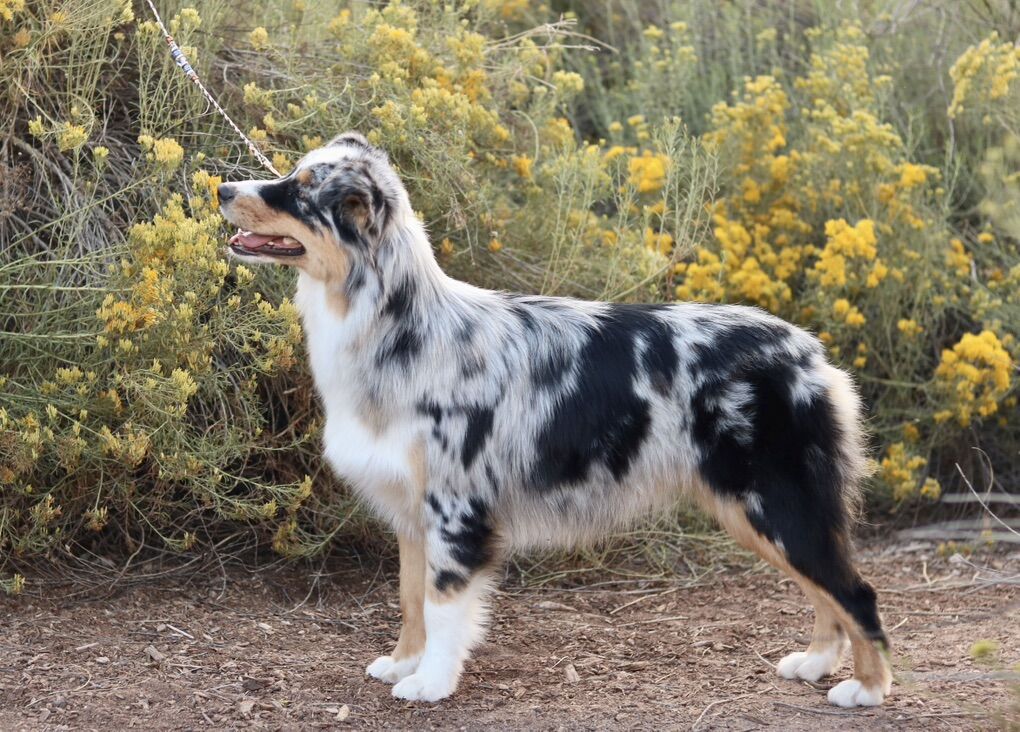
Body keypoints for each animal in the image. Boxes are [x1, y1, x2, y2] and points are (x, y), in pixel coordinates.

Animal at [218, 132, 892, 707]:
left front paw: (431, 683)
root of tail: (808, 350)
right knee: (825, 588)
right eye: (290, 175)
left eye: (299, 191)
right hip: (756, 511)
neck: (399, 328)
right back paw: (815, 661)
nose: (223, 188)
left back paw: (866, 689)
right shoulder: (412, 514)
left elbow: (442, 603)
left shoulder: (457, 510)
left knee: (854, 590)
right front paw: (405, 662)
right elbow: (410, 598)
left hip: (777, 502)